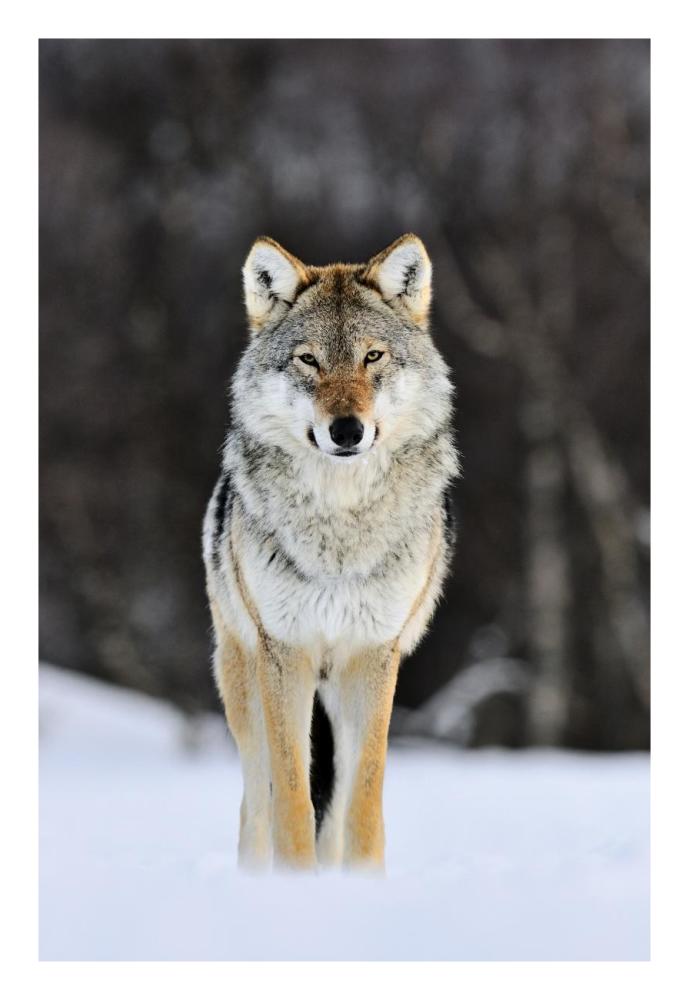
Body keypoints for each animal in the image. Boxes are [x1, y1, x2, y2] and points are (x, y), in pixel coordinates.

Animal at [202, 233, 458, 871]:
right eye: (309, 360)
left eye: (372, 357)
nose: (346, 430)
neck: (340, 537)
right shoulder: (285, 655)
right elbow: (292, 800)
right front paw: (296, 885)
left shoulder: (373, 657)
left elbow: (363, 805)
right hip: (244, 686)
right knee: (256, 803)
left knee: (338, 807)